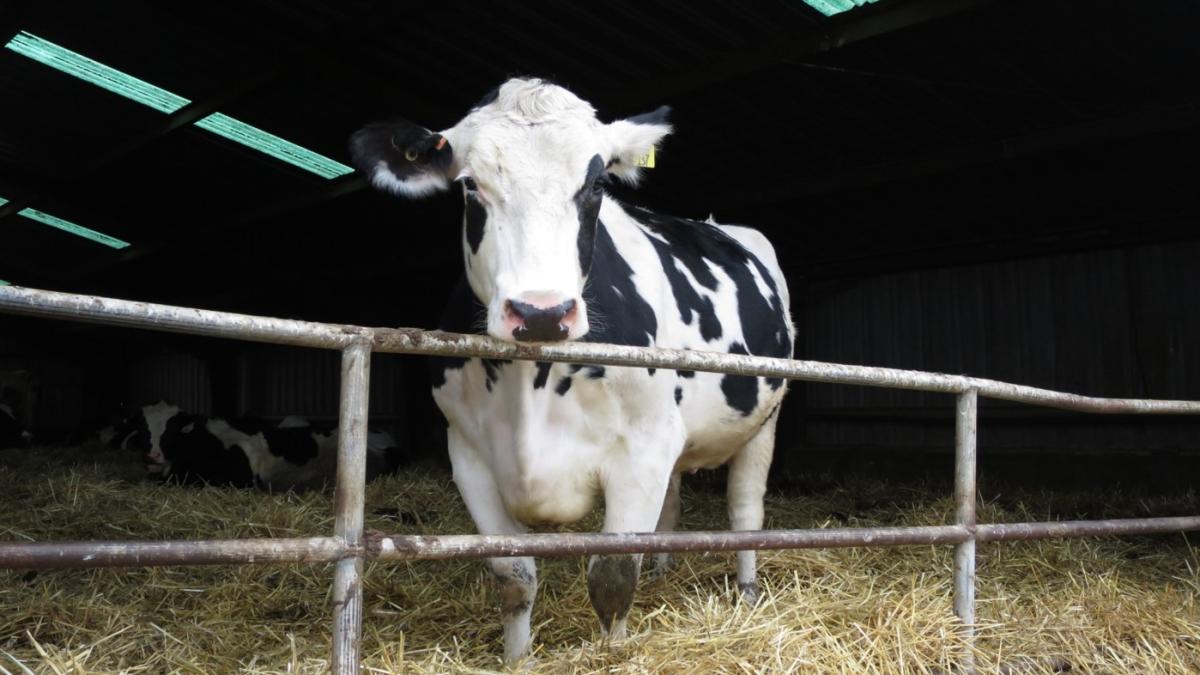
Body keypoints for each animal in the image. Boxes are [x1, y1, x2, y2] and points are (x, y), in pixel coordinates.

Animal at [350, 77, 796, 658]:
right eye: (470, 185)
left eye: (596, 185)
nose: (541, 312)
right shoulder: (470, 454)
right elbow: (514, 577)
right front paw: (517, 659)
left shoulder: (643, 450)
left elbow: (612, 577)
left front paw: (614, 654)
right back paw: (664, 572)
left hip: (763, 422)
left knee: (745, 512)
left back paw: (747, 592)